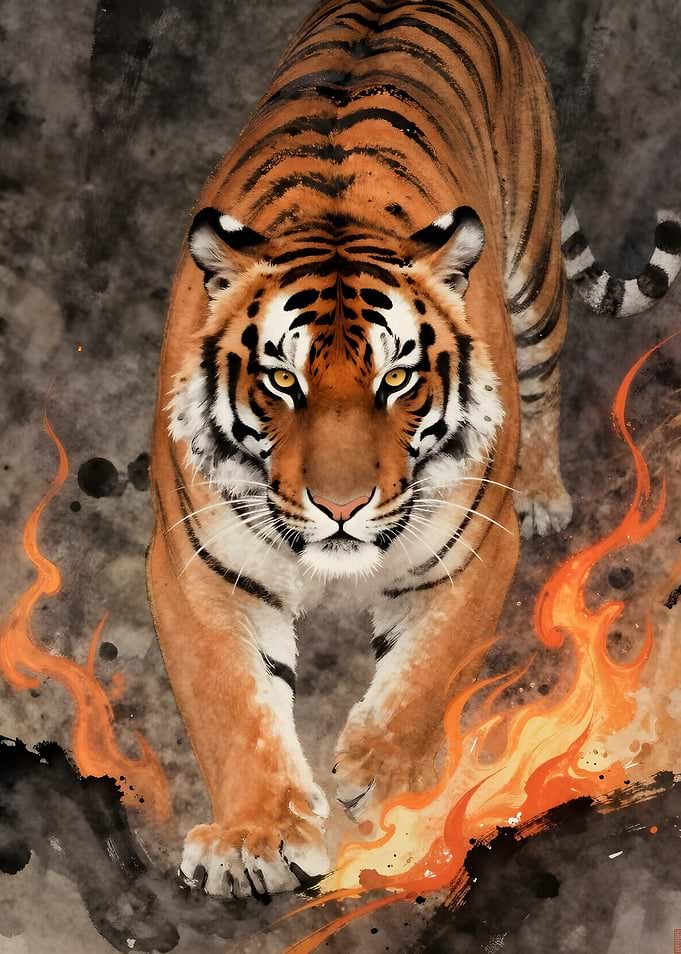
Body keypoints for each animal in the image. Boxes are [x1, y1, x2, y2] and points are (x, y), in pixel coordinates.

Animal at [147, 0, 681, 899]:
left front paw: (386, 777)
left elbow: (430, 668)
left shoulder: (470, 549)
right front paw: (255, 840)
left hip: (532, 279)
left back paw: (544, 491)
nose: (340, 507)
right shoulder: (198, 567)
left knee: (545, 379)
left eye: (396, 378)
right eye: (281, 380)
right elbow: (231, 705)